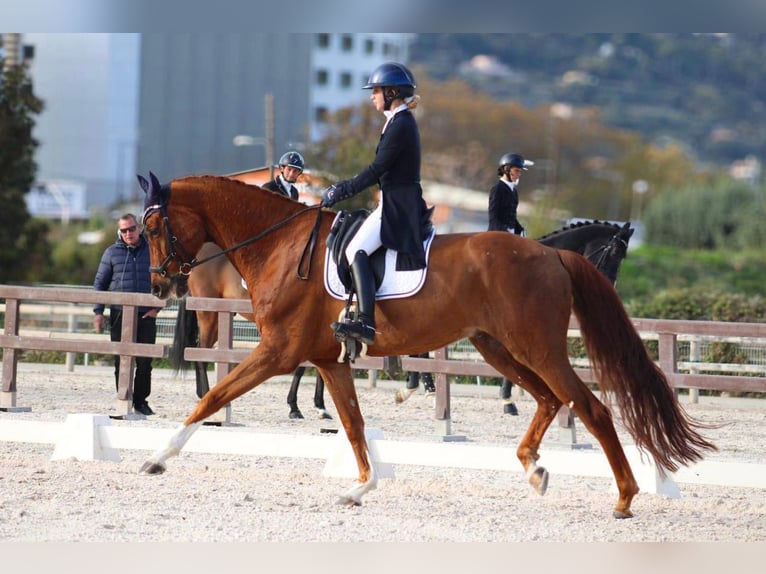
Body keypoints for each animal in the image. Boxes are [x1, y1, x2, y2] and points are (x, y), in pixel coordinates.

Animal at [138, 172, 716, 518]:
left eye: (154, 224)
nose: (160, 285)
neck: (278, 243)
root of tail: (551, 255)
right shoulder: (327, 360)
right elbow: (353, 425)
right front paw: (360, 487)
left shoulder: (279, 352)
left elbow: (214, 397)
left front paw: (158, 458)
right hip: (498, 347)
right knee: (551, 399)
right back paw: (534, 468)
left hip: (536, 347)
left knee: (589, 407)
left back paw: (623, 497)